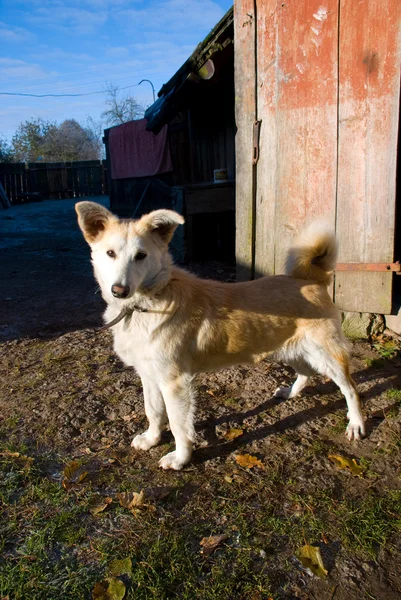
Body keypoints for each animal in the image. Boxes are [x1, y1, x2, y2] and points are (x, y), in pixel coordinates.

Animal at [76, 202, 366, 468]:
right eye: (110, 253)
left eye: (141, 255)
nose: (119, 290)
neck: (148, 303)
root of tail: (311, 279)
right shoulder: (148, 375)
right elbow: (153, 411)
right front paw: (151, 439)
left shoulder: (175, 382)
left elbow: (178, 424)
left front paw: (180, 458)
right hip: (289, 348)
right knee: (306, 373)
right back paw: (290, 393)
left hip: (327, 355)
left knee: (350, 388)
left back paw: (356, 424)